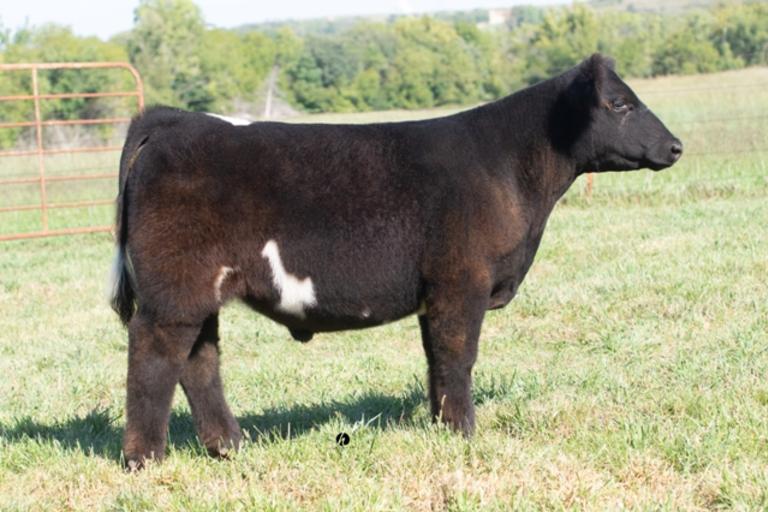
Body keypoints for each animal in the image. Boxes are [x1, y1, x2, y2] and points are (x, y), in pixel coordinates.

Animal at [111, 54, 682, 469]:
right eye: (620, 103)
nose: (676, 146)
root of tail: (173, 121)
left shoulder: (436, 293)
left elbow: (435, 361)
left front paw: (441, 426)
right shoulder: (461, 283)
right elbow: (457, 358)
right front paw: (464, 433)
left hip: (198, 293)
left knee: (199, 361)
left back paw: (229, 446)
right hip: (173, 293)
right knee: (154, 357)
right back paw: (146, 459)